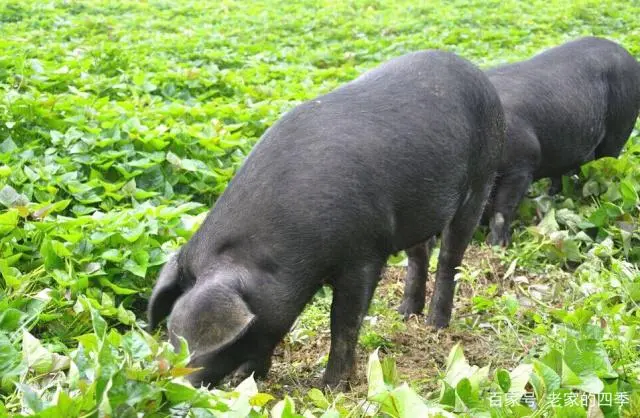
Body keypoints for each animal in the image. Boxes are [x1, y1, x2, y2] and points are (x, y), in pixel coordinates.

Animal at [146, 49, 504, 388]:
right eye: (171, 334)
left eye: (207, 344)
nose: (175, 382)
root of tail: (479, 75)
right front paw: (244, 379)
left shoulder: (364, 253)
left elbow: (343, 321)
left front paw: (332, 386)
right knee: (420, 253)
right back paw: (404, 314)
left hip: (482, 177)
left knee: (450, 256)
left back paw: (435, 325)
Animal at [484, 36, 640, 245]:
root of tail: (628, 55)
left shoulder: (522, 164)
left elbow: (502, 209)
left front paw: (496, 245)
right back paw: (552, 195)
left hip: (622, 122)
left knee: (607, 163)